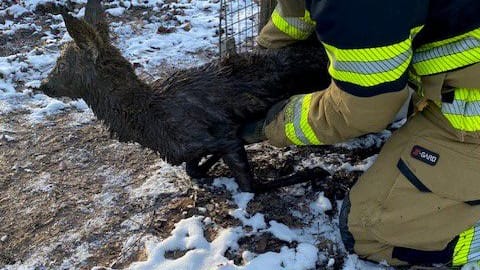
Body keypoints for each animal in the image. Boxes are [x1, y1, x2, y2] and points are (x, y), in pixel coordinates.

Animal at [39, 0, 332, 192]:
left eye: (61, 65)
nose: (43, 85)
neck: (151, 123)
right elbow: (192, 170)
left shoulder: (221, 135)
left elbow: (250, 185)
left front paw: (315, 172)